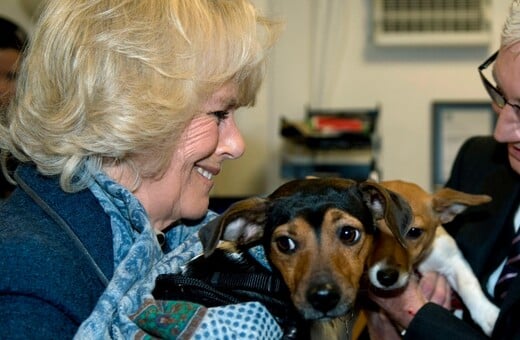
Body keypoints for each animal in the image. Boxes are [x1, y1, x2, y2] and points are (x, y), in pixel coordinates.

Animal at [364, 179, 498, 336]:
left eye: (414, 231)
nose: (386, 277)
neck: (418, 264)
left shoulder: (452, 259)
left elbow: (468, 284)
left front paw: (488, 315)